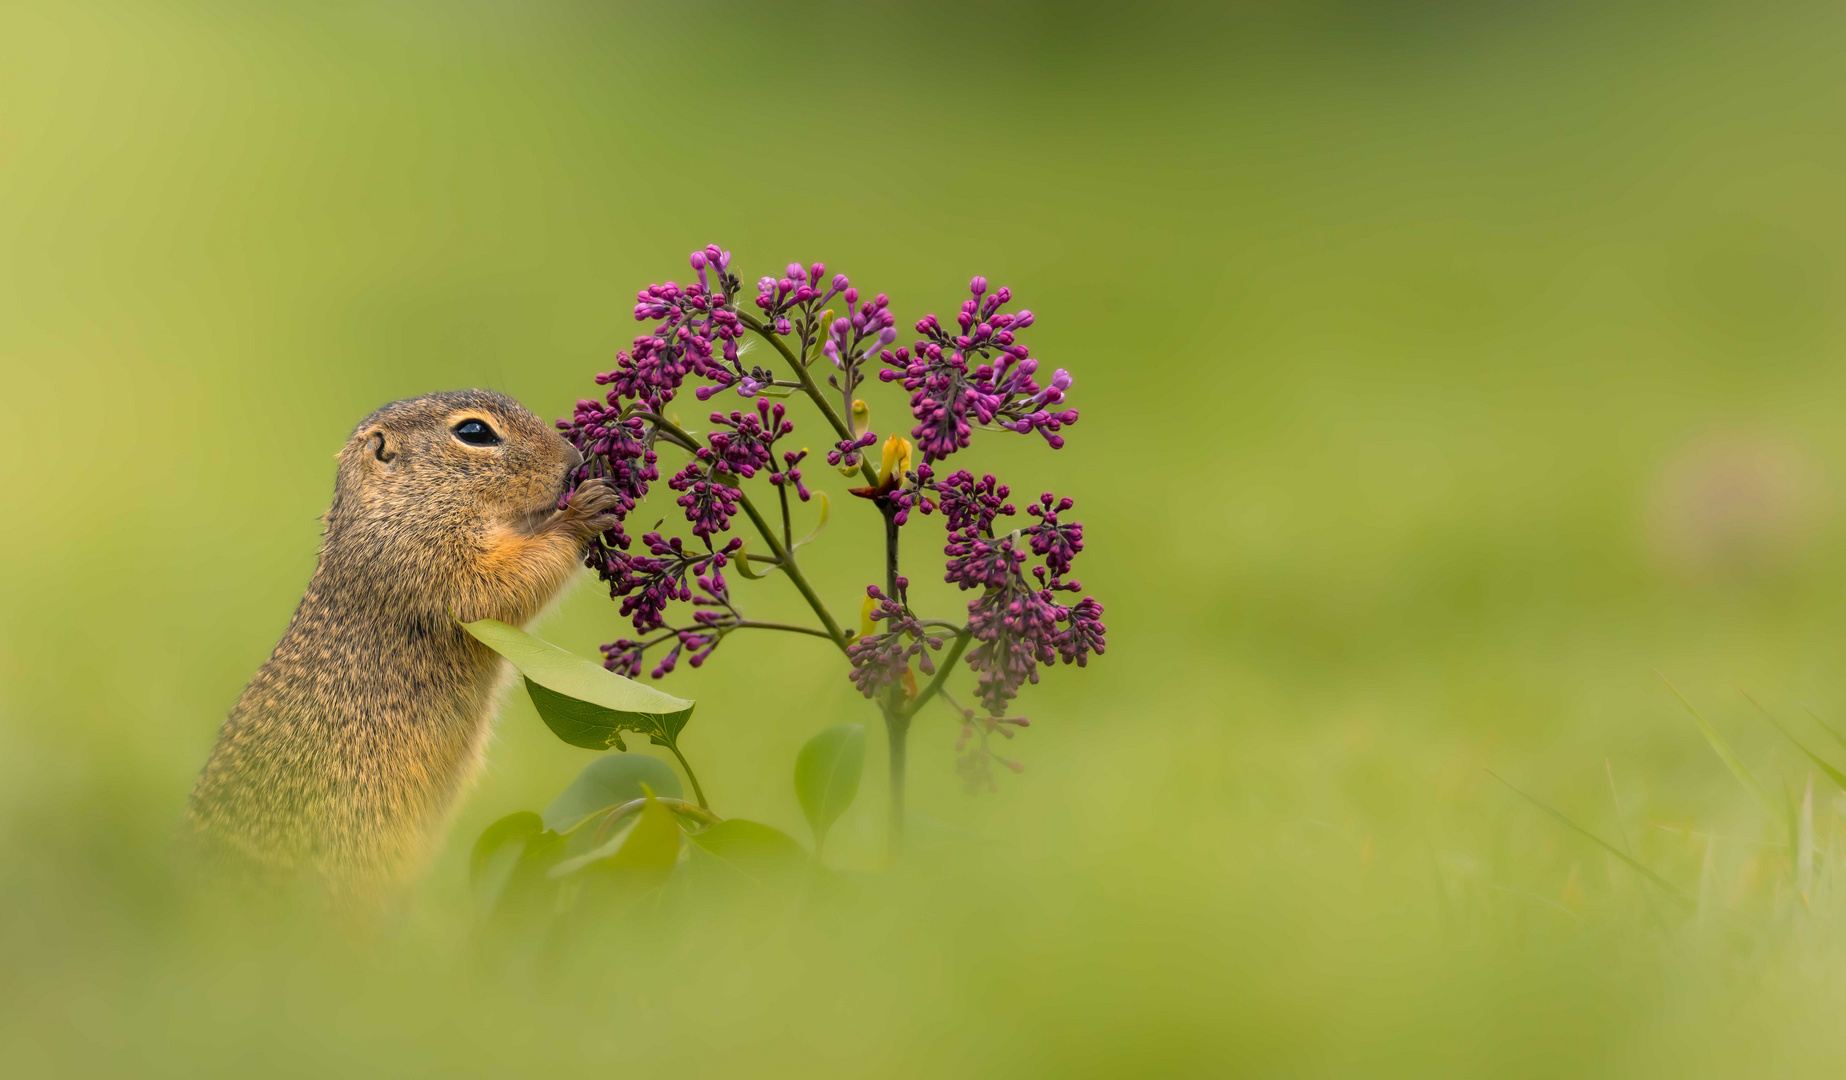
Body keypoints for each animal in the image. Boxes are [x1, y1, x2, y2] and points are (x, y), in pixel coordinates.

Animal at [186, 391, 620, 889]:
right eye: (474, 432)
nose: (574, 461)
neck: (398, 508)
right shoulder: (425, 559)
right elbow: (496, 585)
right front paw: (582, 512)